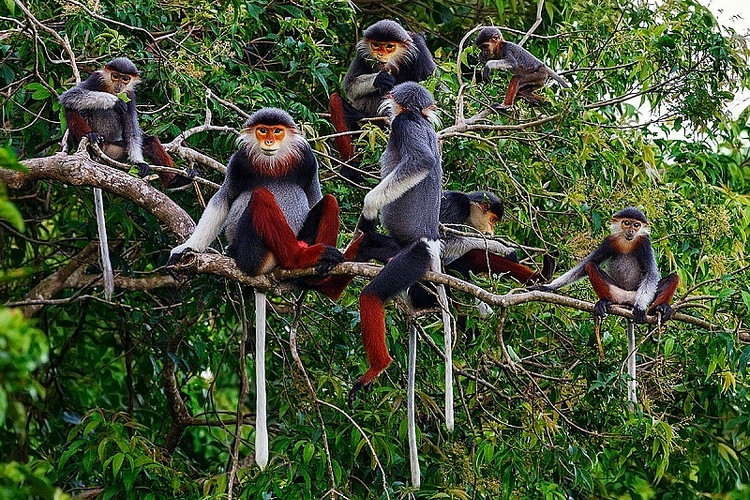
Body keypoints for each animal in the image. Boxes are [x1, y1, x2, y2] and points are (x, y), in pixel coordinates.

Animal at [59, 57, 195, 190]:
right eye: (115, 76)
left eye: (125, 79)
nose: (119, 84)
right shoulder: (96, 78)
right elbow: (69, 96)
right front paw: (116, 101)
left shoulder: (130, 95)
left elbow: (131, 132)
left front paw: (140, 163)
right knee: (70, 108)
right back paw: (91, 136)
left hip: (115, 151)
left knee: (151, 142)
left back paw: (175, 182)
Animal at [167, 108, 344, 469]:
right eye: (262, 131)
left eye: (276, 131)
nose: (269, 142)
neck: (271, 164)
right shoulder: (239, 163)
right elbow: (223, 201)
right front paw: (188, 249)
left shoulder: (307, 160)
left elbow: (317, 196)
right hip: (254, 252)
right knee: (261, 196)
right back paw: (301, 257)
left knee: (329, 202)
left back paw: (316, 274)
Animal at [329, 19, 436, 181]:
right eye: (376, 45)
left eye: (389, 46)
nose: (379, 54)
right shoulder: (361, 53)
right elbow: (350, 86)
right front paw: (381, 78)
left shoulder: (420, 47)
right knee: (335, 100)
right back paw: (351, 167)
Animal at [534, 207, 679, 325]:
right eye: (627, 223)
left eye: (637, 225)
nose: (631, 230)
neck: (627, 243)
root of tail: (627, 300)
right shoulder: (610, 241)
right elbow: (584, 265)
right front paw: (548, 287)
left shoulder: (645, 243)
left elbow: (651, 273)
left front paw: (640, 307)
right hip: (616, 293)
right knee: (590, 265)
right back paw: (604, 303)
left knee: (674, 277)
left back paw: (660, 309)